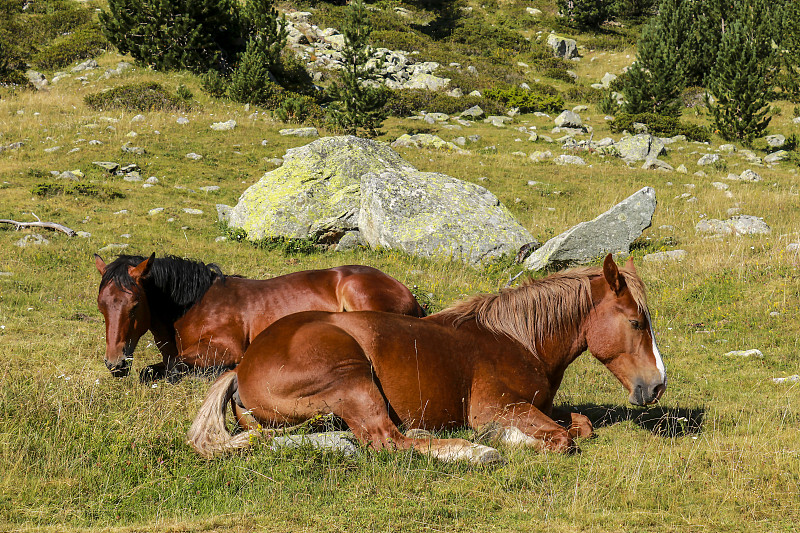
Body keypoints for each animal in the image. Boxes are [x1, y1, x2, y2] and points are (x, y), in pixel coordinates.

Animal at [94, 252, 424, 380]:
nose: (114, 363)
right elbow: (153, 370)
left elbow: (174, 369)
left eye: (135, 305)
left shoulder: (225, 349)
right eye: (101, 307)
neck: (194, 306)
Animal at [189, 254, 668, 462]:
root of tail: (241, 368)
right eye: (636, 322)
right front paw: (504, 439)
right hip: (351, 377)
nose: (657, 385)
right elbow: (564, 437)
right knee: (387, 440)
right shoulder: (497, 407)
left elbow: (579, 424)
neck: (518, 340)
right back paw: (474, 451)